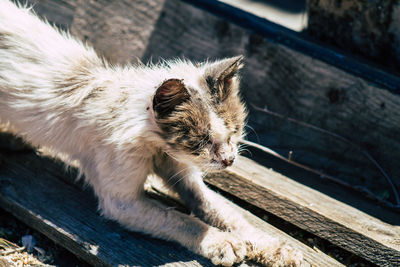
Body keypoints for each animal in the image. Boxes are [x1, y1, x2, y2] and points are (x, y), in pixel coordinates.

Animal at [0, 1, 302, 266]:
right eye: (200, 140)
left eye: (234, 132)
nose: (229, 160)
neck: (159, 147)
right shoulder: (121, 202)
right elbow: (182, 220)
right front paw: (221, 242)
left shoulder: (184, 174)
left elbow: (223, 210)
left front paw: (274, 249)